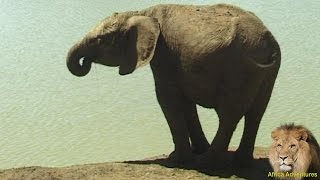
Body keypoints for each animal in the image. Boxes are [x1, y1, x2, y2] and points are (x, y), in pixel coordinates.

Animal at [65, 3, 280, 168]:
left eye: (99, 40)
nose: (85, 62)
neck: (141, 12)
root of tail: (269, 44)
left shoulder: (163, 53)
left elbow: (166, 98)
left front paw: (176, 160)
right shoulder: (178, 62)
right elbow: (185, 102)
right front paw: (195, 150)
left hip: (238, 69)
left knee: (230, 114)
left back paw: (206, 163)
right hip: (267, 73)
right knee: (256, 112)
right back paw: (240, 162)